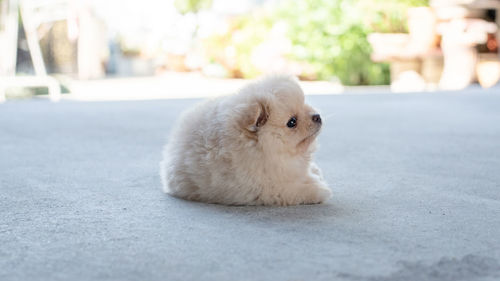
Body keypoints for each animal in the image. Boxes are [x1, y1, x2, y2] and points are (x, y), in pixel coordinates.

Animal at [160, 75, 332, 205]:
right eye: (292, 122)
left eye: (305, 103)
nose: (317, 116)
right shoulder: (269, 187)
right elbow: (298, 189)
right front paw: (321, 190)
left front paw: (315, 173)